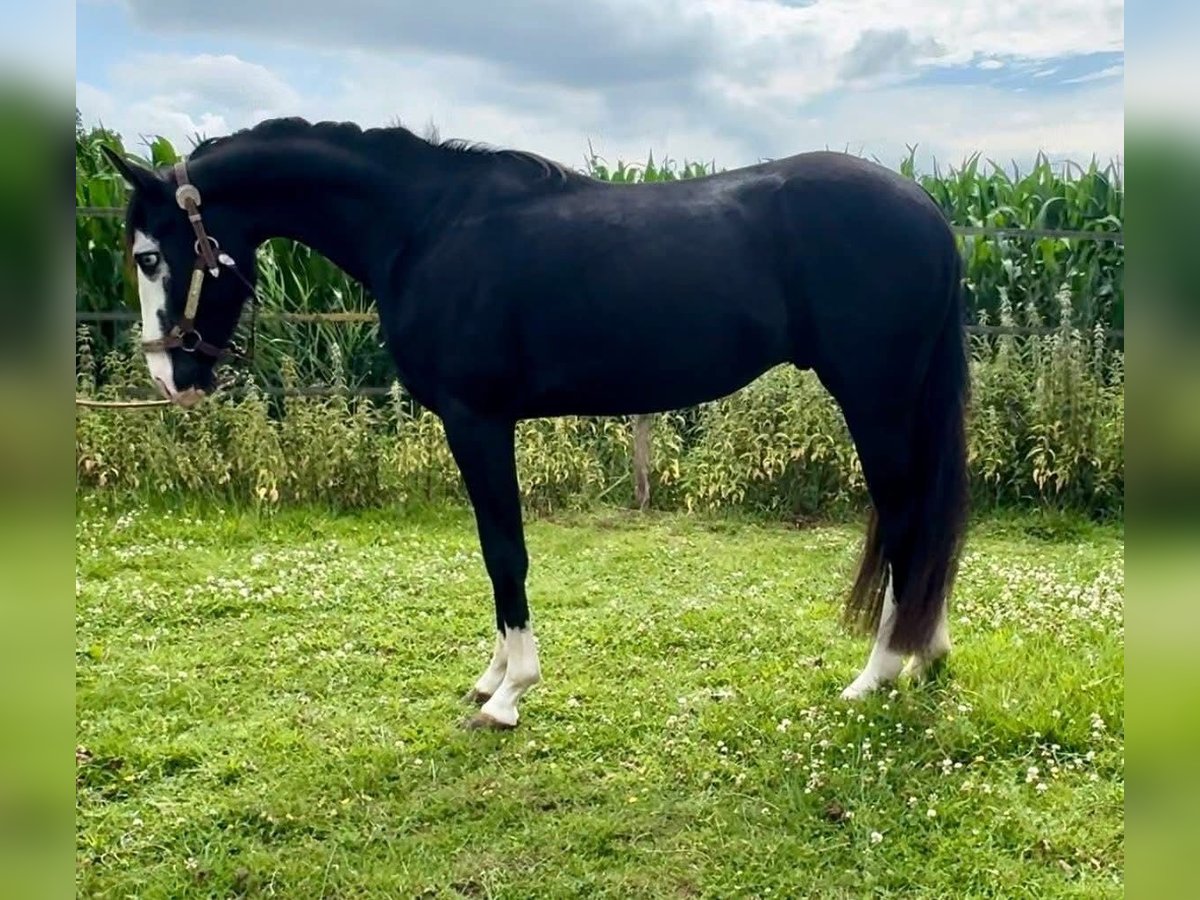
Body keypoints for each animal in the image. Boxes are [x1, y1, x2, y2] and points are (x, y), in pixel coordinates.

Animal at [99, 117, 970, 730]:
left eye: (149, 256)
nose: (170, 377)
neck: (425, 227)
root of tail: (928, 210)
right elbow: (497, 556)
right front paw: (491, 674)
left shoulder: (477, 421)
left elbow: (503, 552)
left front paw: (510, 692)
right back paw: (923, 653)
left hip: (876, 400)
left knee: (903, 522)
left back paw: (878, 672)